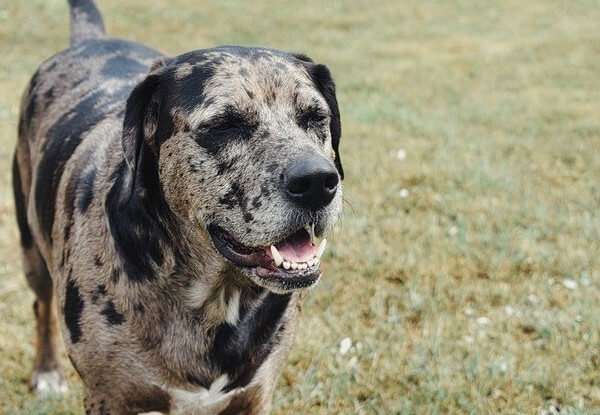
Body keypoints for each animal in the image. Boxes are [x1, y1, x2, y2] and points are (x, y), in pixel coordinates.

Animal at [10, 1, 342, 414]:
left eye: (315, 117)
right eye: (224, 125)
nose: (317, 182)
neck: (213, 297)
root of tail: (90, 39)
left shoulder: (254, 397)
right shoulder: (108, 397)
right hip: (31, 251)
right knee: (40, 306)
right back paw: (46, 371)